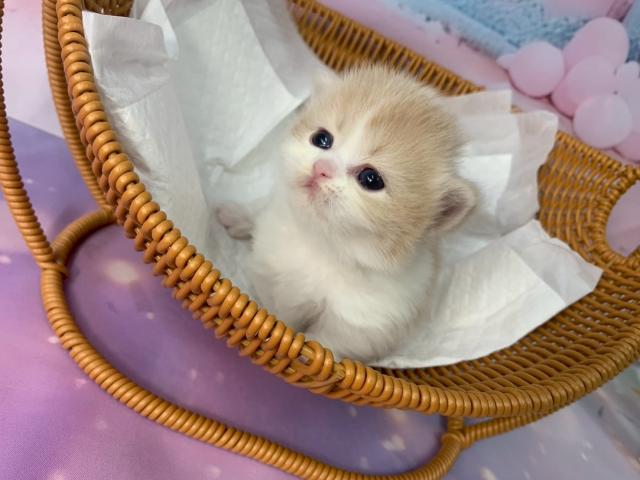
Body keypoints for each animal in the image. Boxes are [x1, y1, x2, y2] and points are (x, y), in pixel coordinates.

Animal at [217, 64, 476, 363]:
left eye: (371, 179)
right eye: (322, 139)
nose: (321, 168)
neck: (321, 243)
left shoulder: (364, 324)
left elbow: (321, 343)